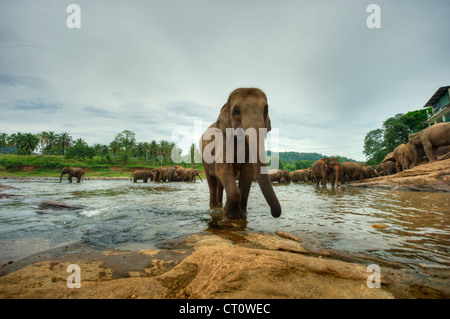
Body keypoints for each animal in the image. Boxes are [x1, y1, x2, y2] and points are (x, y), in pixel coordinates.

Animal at [200, 87, 282, 220]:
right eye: (237, 111)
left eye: (265, 110)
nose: (273, 213)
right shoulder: (223, 139)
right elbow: (222, 168)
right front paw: (230, 214)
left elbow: (247, 172)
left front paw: (243, 214)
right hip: (204, 162)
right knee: (212, 182)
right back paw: (213, 207)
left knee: (220, 183)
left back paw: (219, 205)